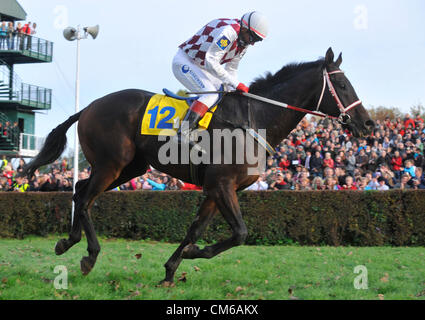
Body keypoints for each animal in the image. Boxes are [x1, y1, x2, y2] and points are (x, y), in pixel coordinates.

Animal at [21, 47, 372, 282]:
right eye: (343, 86)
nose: (367, 123)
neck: (254, 119)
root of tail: (90, 106)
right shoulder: (222, 184)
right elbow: (240, 233)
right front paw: (190, 255)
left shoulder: (219, 189)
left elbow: (196, 228)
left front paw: (170, 269)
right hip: (111, 163)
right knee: (84, 197)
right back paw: (88, 254)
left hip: (130, 168)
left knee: (81, 191)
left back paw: (70, 242)